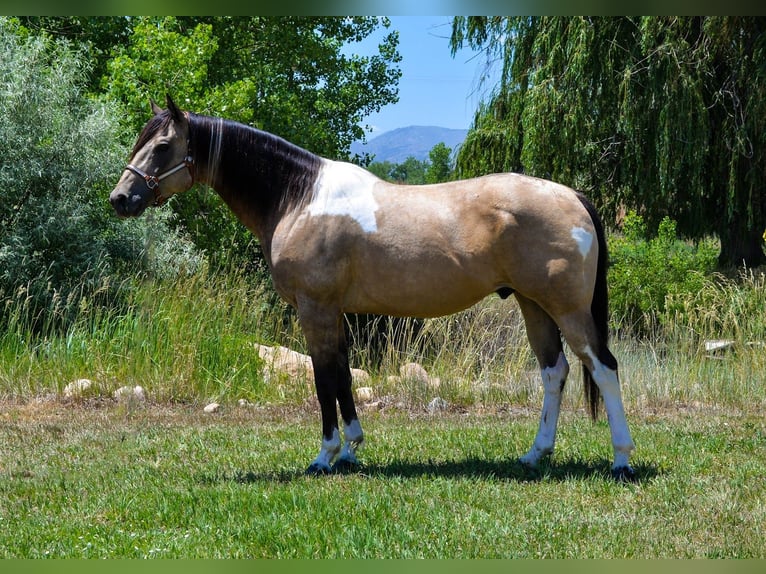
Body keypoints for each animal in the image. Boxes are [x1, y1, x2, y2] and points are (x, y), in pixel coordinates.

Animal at [108, 97, 636, 484]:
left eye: (162, 146)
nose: (120, 199)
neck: (299, 198)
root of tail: (573, 196)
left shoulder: (315, 309)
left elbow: (324, 380)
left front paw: (326, 455)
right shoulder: (335, 312)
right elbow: (342, 376)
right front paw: (352, 450)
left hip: (567, 309)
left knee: (603, 368)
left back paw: (622, 460)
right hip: (533, 306)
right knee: (554, 371)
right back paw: (534, 455)